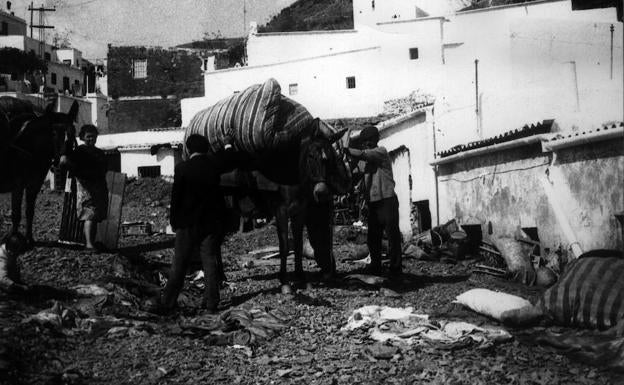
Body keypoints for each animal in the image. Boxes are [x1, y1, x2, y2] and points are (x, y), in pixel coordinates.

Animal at [0, 97, 78, 246]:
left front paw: (29, 239)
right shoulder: (18, 186)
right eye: (53, 133)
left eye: (73, 132)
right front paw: (13, 239)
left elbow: (29, 211)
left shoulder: (34, 185)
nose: (63, 163)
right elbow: (16, 214)